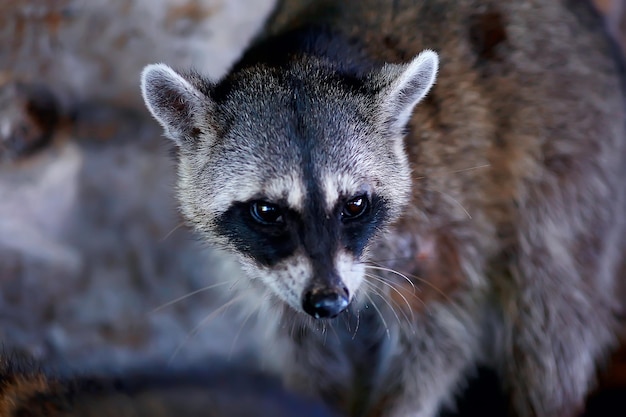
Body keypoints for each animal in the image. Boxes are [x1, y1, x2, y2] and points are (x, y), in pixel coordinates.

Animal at [140, 0, 624, 416]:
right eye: (267, 211)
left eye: (354, 204)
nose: (329, 301)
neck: (302, 55)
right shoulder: (270, 277)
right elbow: (304, 346)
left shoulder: (442, 215)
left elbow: (441, 332)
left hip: (573, 157)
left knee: (550, 302)